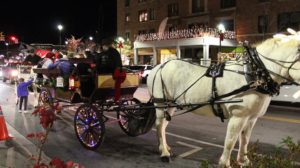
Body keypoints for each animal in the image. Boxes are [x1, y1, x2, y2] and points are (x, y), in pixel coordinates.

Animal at [146, 30, 300, 167]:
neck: (253, 73)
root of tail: (158, 66)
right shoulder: (238, 116)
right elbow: (230, 141)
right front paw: (225, 163)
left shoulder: (251, 117)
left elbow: (245, 139)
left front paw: (244, 161)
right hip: (161, 103)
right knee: (159, 125)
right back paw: (164, 153)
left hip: (171, 105)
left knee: (164, 125)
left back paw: (164, 147)